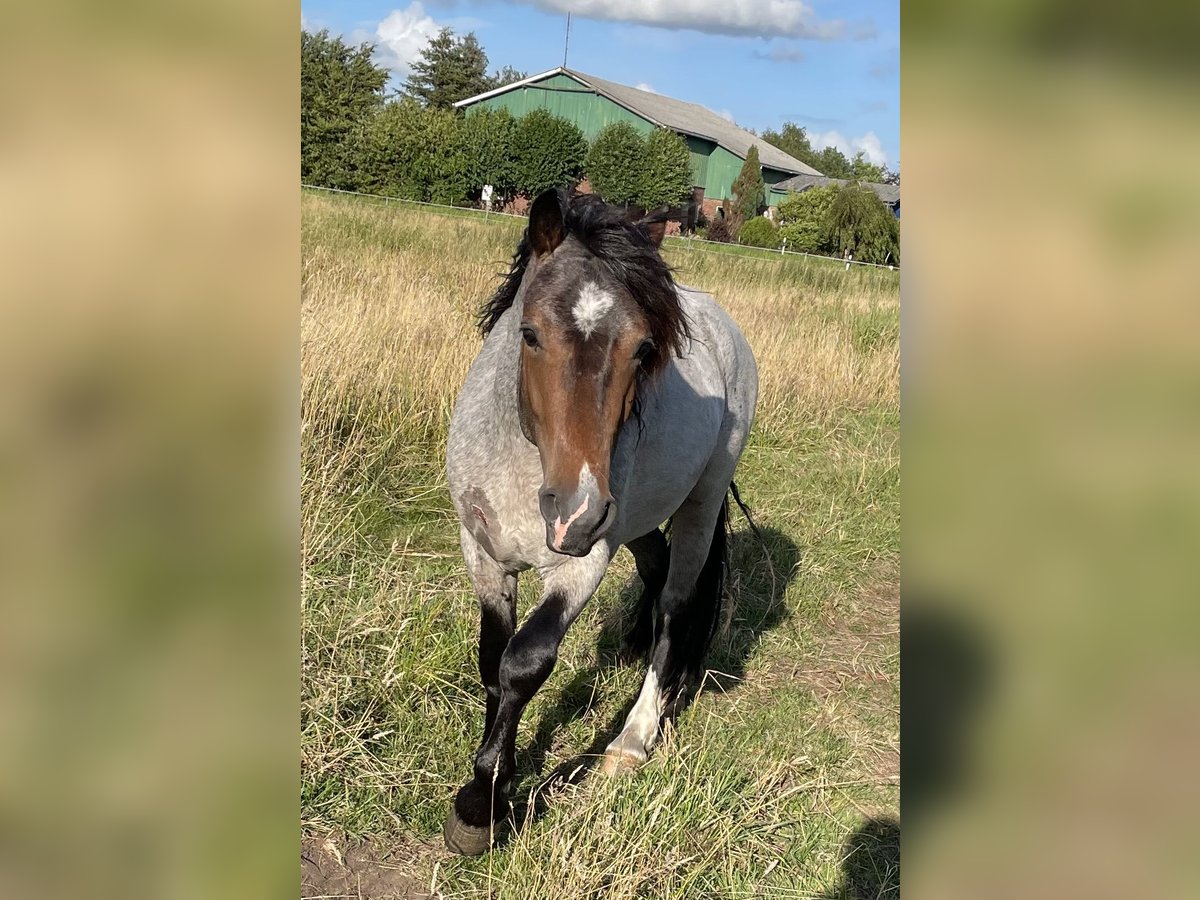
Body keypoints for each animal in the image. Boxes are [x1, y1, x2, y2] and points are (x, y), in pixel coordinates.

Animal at [441, 188, 758, 854]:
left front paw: (481, 804)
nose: (576, 513)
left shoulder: (582, 565)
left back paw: (633, 737)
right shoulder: (482, 552)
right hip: (634, 518)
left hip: (698, 502)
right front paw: (500, 771)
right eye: (530, 334)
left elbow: (525, 661)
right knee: (657, 567)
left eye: (643, 348)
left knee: (676, 605)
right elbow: (491, 658)